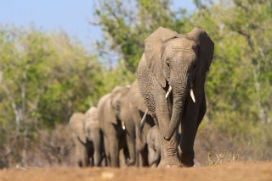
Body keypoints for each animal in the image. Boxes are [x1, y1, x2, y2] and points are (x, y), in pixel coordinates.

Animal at [137, 25, 214, 167]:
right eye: (167, 64)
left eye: (194, 66)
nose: (166, 136)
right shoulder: (158, 77)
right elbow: (165, 110)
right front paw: (172, 165)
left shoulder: (199, 78)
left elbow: (191, 112)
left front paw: (186, 163)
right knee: (158, 118)